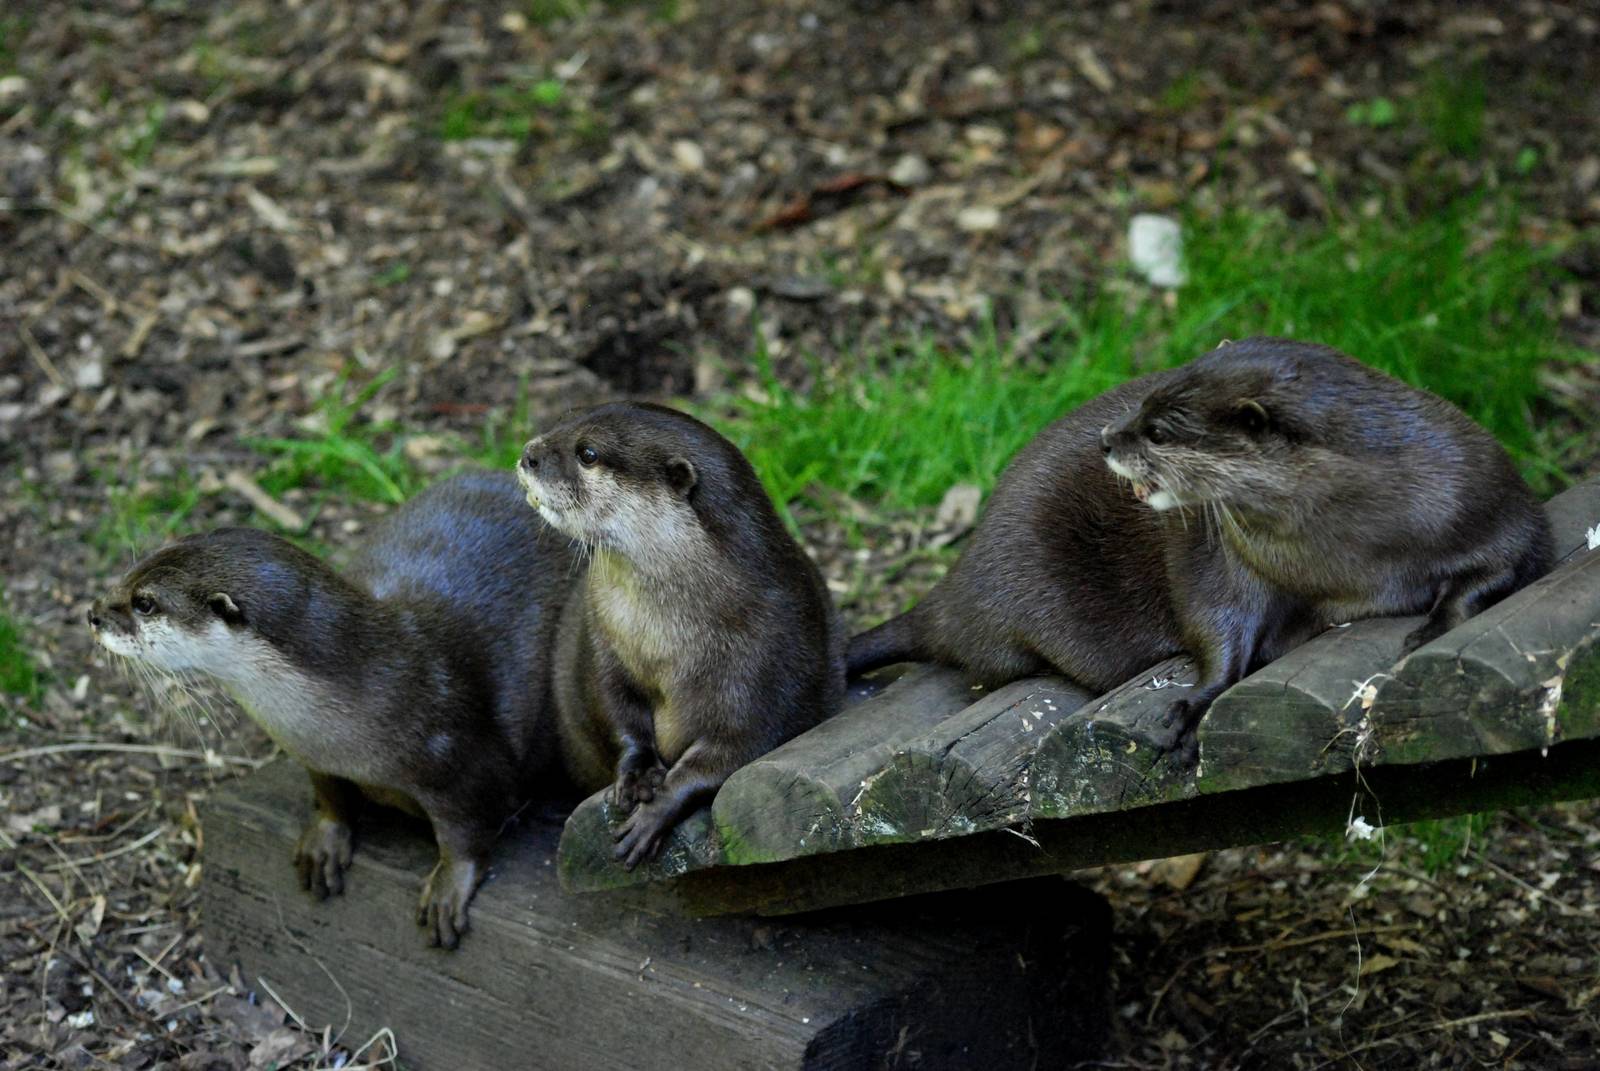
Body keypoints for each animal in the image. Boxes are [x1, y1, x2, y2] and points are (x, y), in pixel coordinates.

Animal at [89, 471, 580, 948]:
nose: (93, 613)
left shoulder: (464, 761)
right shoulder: (317, 758)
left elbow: (469, 833)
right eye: (131, 571)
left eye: (145, 602)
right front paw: (325, 841)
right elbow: (331, 796)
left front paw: (449, 887)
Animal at [518, 402, 844, 868]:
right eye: (563, 420)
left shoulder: (768, 667)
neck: (665, 642)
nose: (529, 454)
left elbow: (733, 752)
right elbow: (617, 712)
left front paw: (656, 811)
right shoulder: (604, 645)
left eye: (588, 453)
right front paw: (636, 772)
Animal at [850, 338, 1551, 761]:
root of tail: (957, 584)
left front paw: (1436, 621)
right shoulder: (1226, 557)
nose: (1108, 438)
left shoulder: (1483, 492)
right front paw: (1198, 702)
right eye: (1144, 403)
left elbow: (1508, 558)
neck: (1354, 556)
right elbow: (1215, 622)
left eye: (1159, 430)